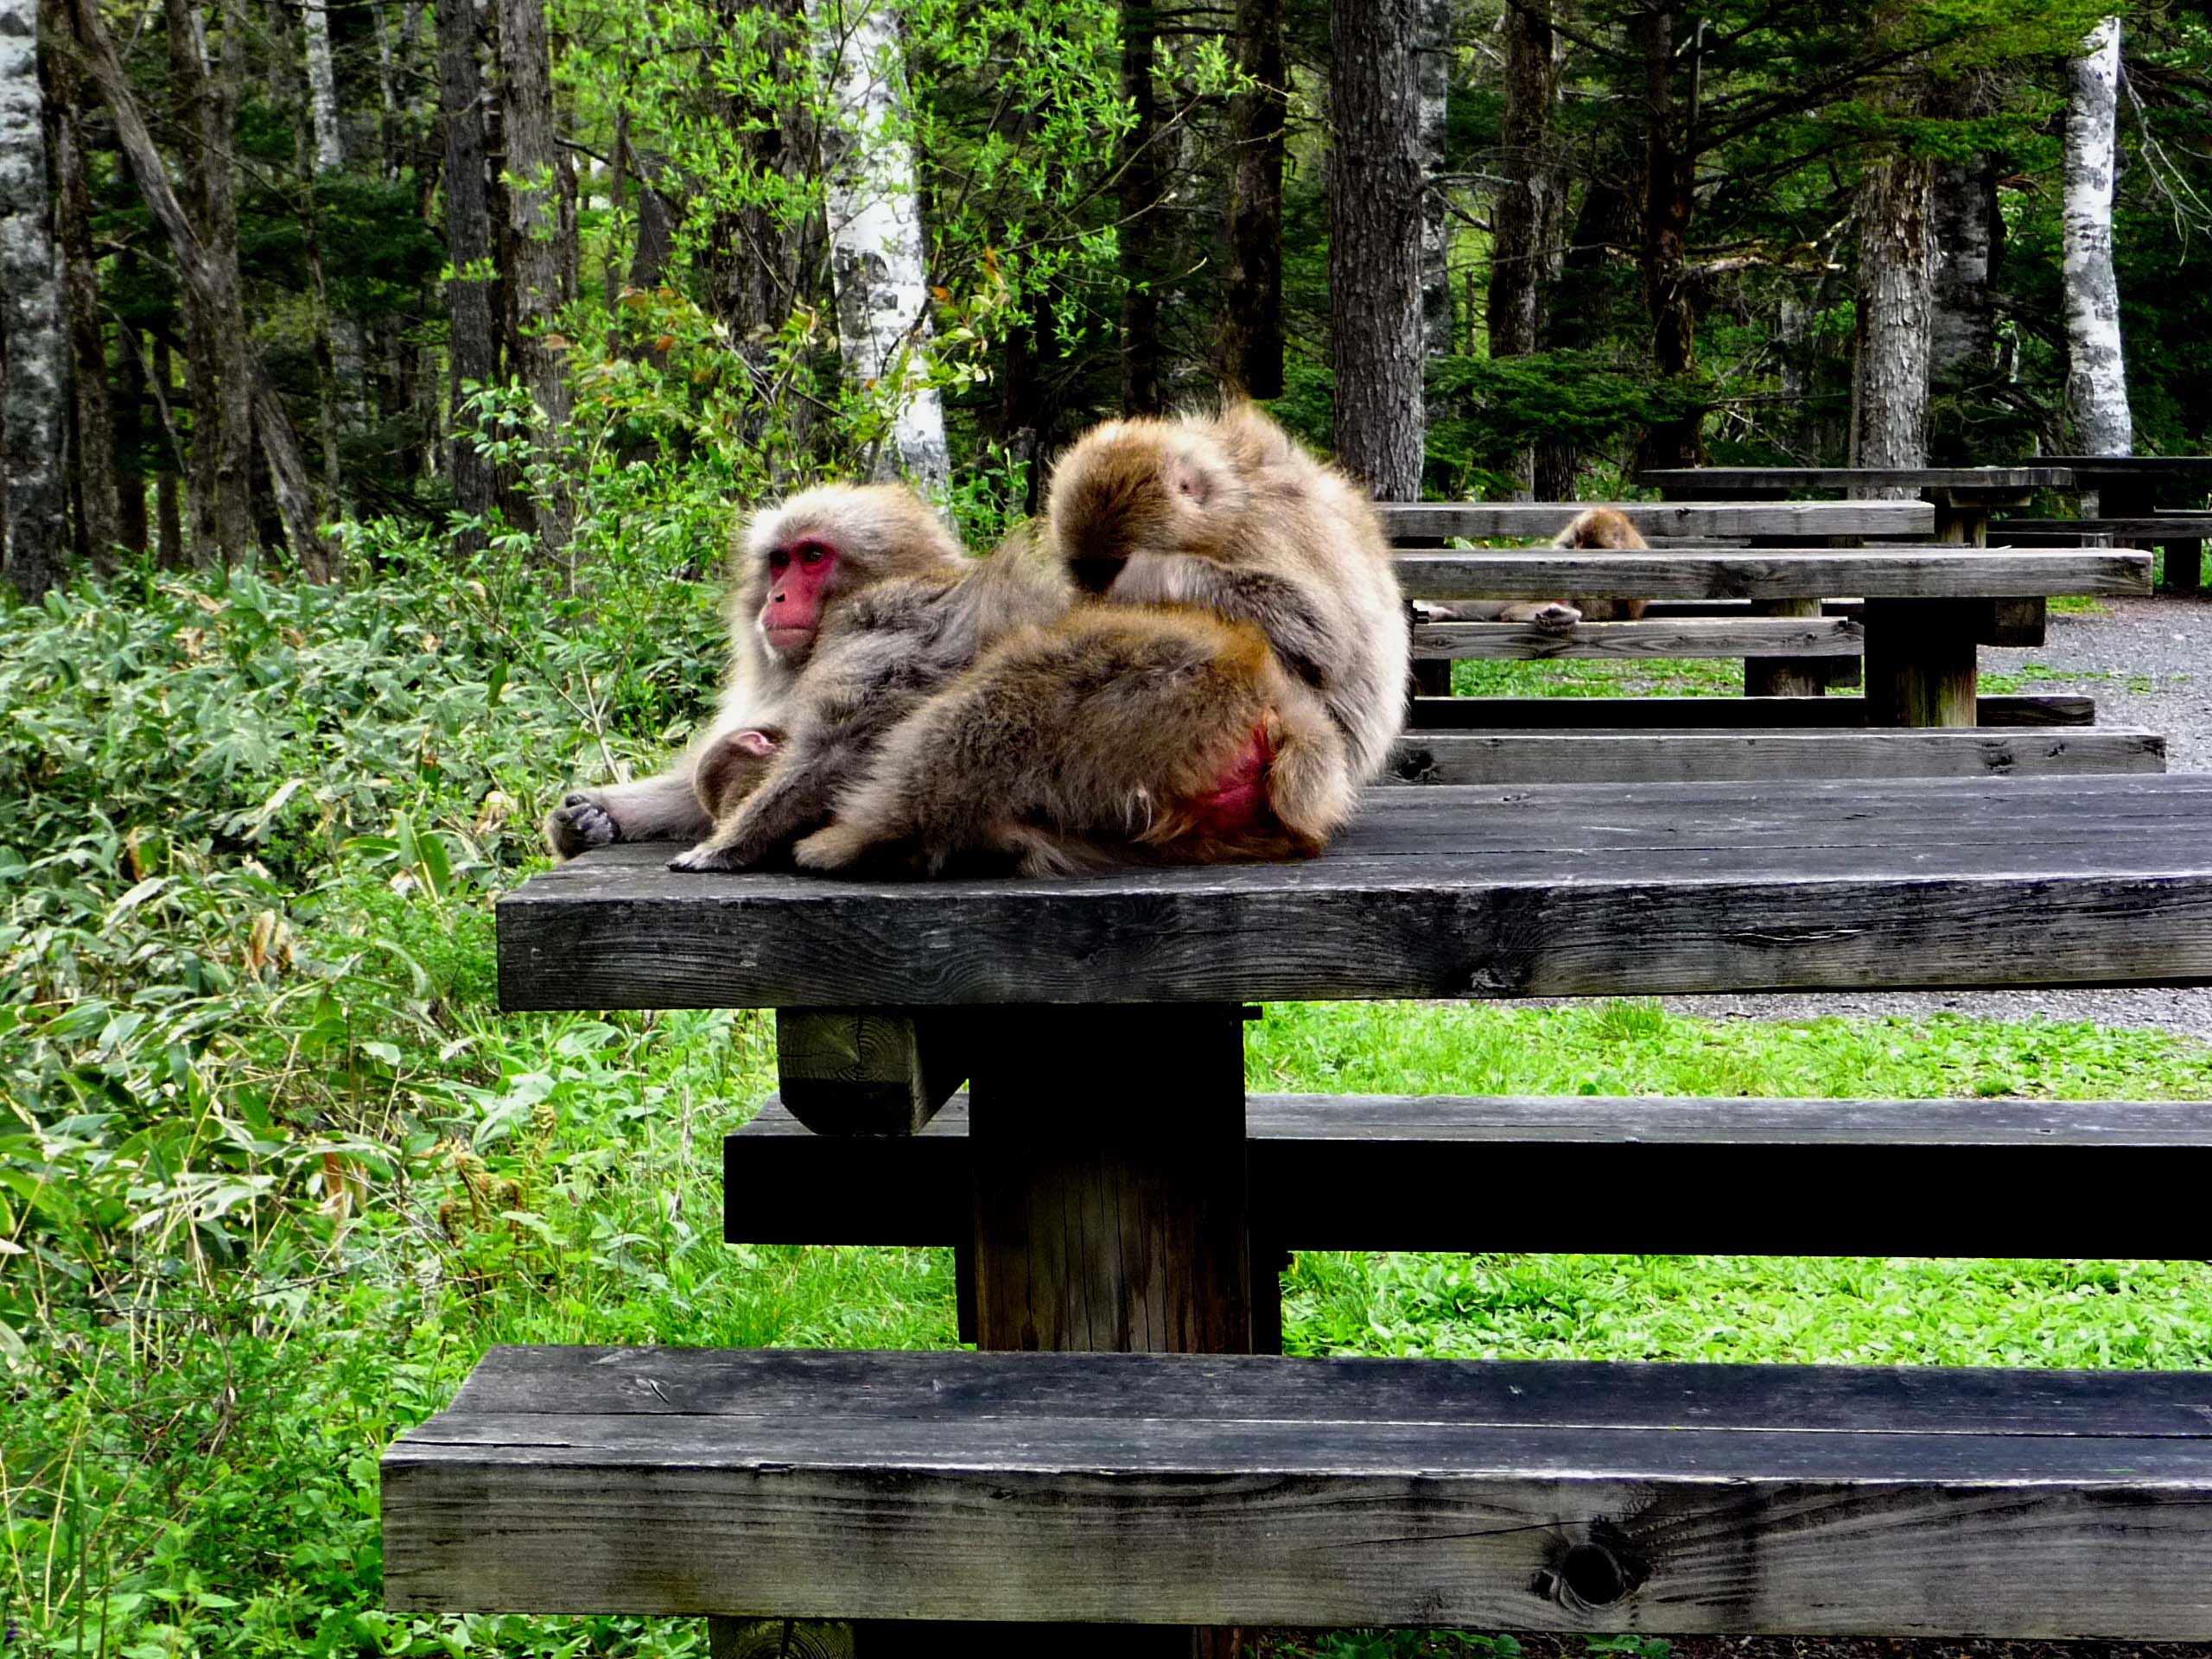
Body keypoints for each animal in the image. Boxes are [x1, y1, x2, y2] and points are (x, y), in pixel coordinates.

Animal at [1040, 400, 1410, 791]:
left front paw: (1153, 574)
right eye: (1086, 571)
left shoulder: (1265, 525)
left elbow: (1321, 638)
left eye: (1111, 568)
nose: (1097, 592)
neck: (1232, 501)